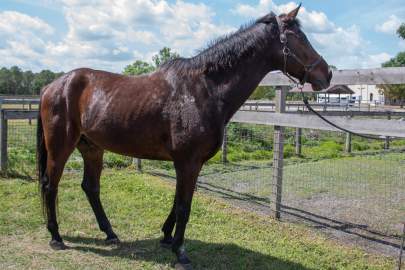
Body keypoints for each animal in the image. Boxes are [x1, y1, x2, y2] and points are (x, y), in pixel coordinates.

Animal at [36, 5, 330, 268]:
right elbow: (184, 207)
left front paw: (167, 237)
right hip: (61, 147)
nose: (326, 74)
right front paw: (180, 252)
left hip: (92, 148)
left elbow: (178, 202)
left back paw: (110, 233)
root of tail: (53, 86)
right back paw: (56, 237)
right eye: (299, 37)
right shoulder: (187, 162)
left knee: (91, 188)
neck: (203, 90)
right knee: (51, 185)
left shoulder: (189, 164)